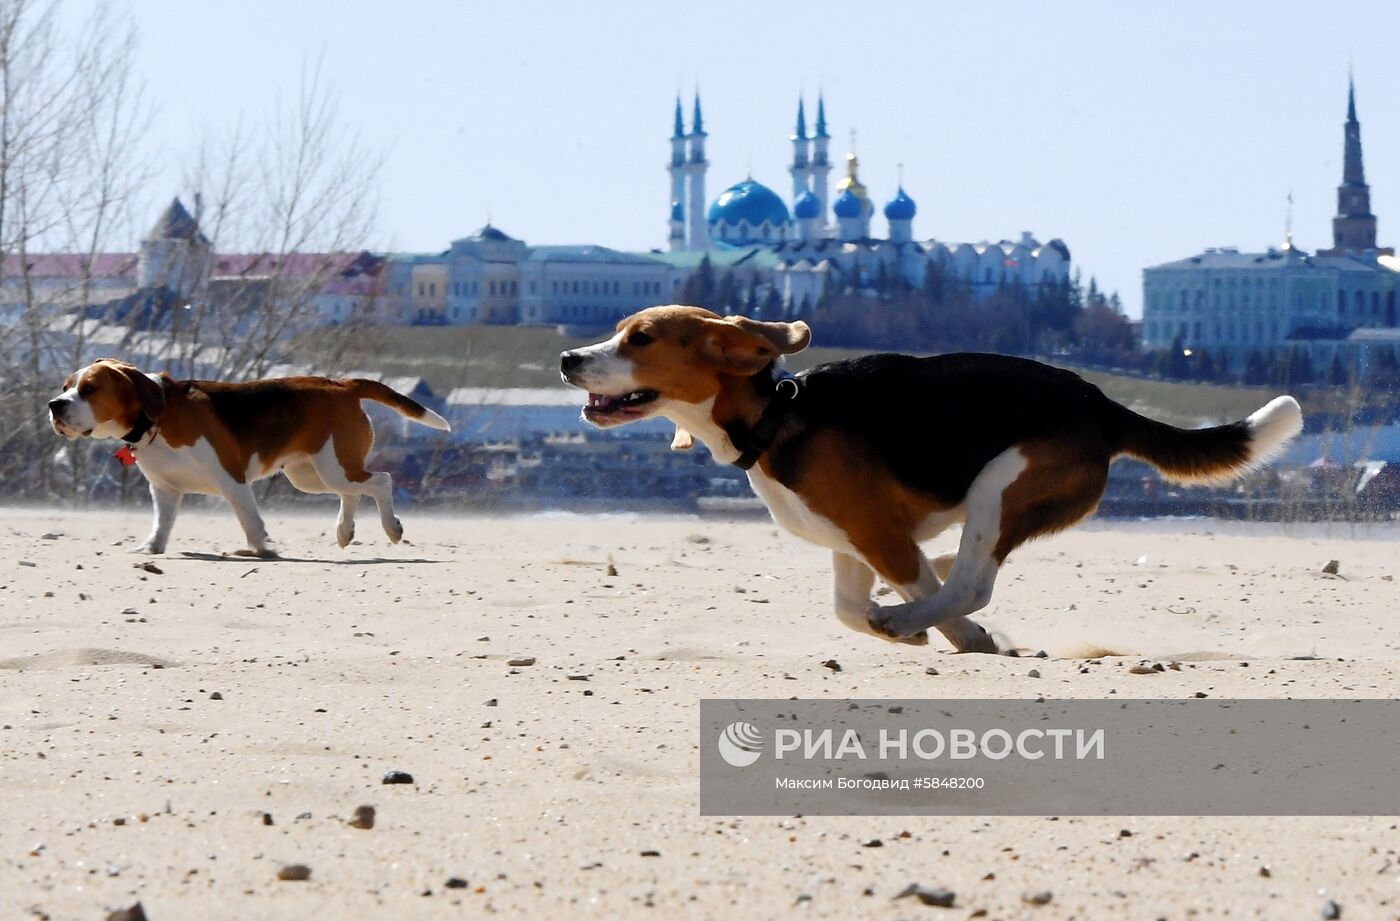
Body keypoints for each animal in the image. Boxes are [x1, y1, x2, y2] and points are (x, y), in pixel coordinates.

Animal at [50, 358, 448, 557]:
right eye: (66, 386)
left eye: (89, 389)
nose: (54, 405)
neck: (157, 419)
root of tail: (342, 384)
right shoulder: (165, 489)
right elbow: (162, 522)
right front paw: (152, 547)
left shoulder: (232, 479)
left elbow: (249, 519)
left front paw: (260, 549)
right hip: (312, 475)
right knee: (351, 494)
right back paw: (344, 531)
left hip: (334, 468)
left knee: (381, 481)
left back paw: (391, 527)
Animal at [557, 305, 1299, 649]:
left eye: (642, 339)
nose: (566, 358)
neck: (774, 417)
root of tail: (1100, 402)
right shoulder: (849, 543)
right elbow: (846, 608)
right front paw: (916, 628)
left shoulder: (879, 535)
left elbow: (922, 594)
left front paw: (943, 633)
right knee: (959, 572)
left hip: (1001, 484)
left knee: (972, 582)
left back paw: (920, 615)